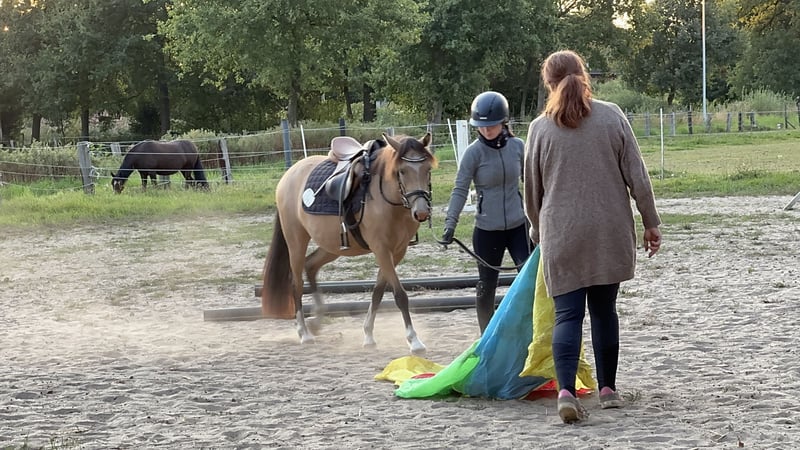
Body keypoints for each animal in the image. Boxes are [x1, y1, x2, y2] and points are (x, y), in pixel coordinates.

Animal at [261, 133, 436, 354]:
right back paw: (304, 333)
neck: (388, 200)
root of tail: (289, 174)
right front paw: (414, 341)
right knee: (296, 283)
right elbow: (400, 295)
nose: (421, 212)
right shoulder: (381, 250)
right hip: (296, 241)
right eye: (402, 171)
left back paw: (316, 321)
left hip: (331, 246)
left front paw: (368, 335)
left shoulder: (397, 252)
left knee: (311, 266)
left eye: (427, 169)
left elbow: (378, 293)